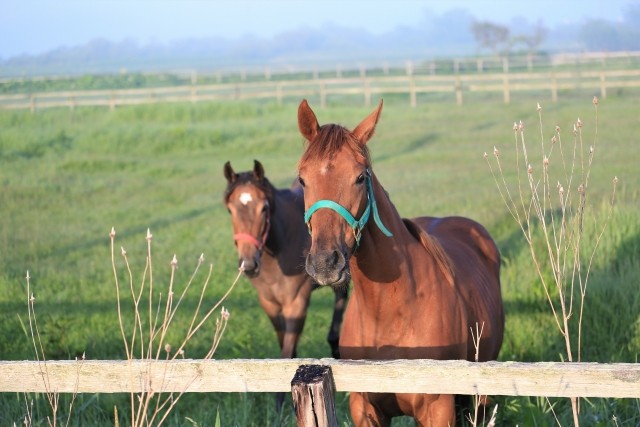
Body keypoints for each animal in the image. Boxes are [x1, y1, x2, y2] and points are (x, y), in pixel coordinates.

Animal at [222, 159, 348, 362]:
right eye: (230, 210)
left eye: (264, 208)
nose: (248, 265)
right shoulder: (270, 305)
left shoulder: (296, 304)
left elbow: (287, 352)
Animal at [296, 101, 504, 427]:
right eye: (302, 179)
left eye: (361, 176)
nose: (325, 262)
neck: (390, 312)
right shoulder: (365, 409)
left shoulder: (438, 409)